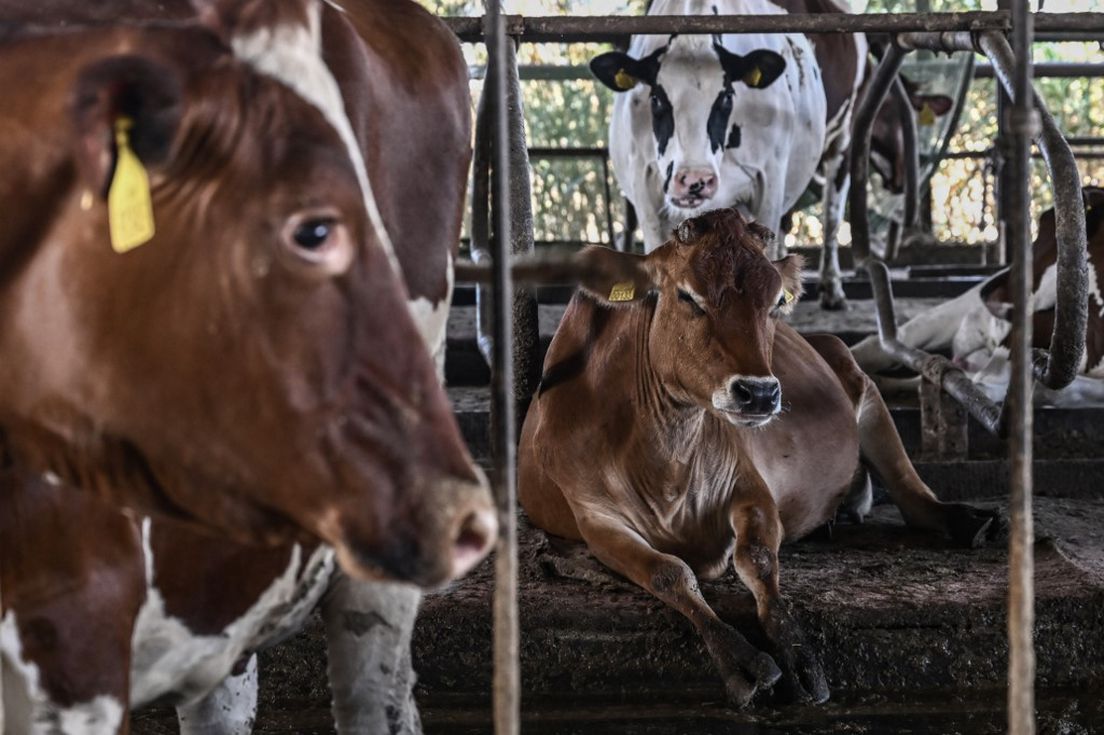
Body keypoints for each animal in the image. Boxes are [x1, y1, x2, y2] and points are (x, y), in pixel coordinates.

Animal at [518, 206, 1002, 706]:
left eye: (773, 303)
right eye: (687, 295)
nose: (761, 392)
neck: (665, 459)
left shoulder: (750, 486)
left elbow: (757, 558)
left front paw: (799, 656)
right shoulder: (594, 518)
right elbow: (668, 573)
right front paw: (741, 661)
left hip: (861, 385)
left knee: (908, 488)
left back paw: (965, 519)